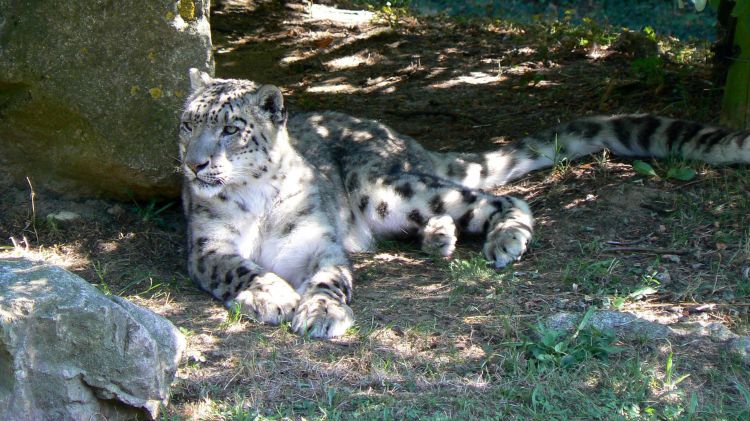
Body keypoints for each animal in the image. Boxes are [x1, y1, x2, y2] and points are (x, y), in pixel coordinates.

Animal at [181, 69, 750, 338]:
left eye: (231, 129)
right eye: (188, 124)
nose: (194, 164)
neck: (256, 202)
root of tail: (400, 137)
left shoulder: (317, 244)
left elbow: (329, 279)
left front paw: (320, 312)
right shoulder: (207, 247)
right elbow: (239, 267)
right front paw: (273, 294)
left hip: (384, 188)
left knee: (502, 197)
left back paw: (504, 239)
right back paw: (440, 236)